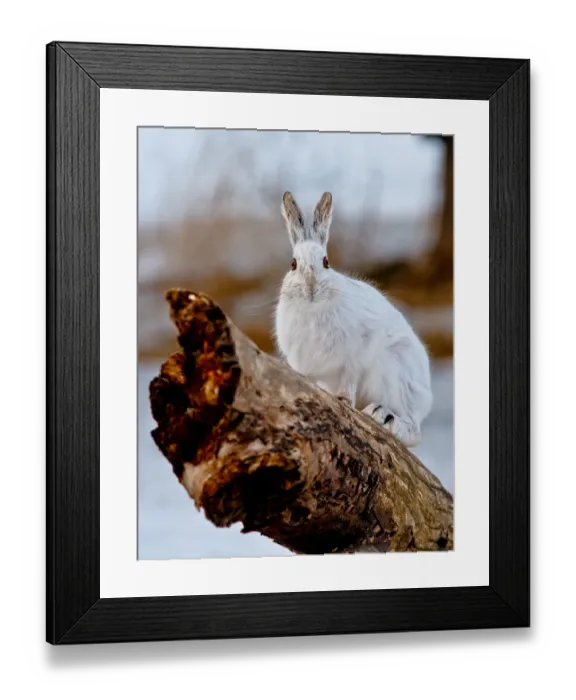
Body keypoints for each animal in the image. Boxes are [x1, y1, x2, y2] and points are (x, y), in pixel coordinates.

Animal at [273, 191, 433, 448]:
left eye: (326, 262)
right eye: (293, 264)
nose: (311, 288)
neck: (313, 309)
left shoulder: (356, 356)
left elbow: (350, 379)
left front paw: (344, 400)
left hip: (395, 373)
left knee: (414, 430)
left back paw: (383, 416)